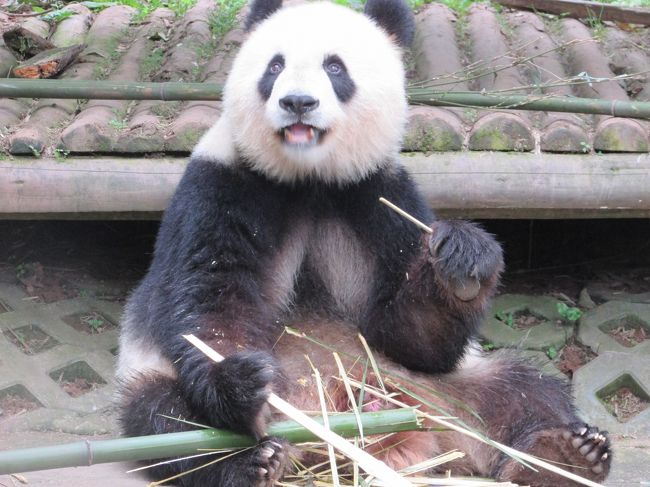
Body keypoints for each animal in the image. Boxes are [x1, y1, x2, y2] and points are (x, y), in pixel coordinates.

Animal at [117, 0, 612, 487]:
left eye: (335, 67)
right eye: (275, 66)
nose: (298, 102)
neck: (308, 175)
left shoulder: (379, 192)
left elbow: (410, 336)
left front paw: (463, 262)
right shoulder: (222, 184)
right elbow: (212, 302)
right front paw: (245, 382)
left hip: (441, 387)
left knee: (520, 387)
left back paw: (565, 456)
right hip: (155, 381)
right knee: (168, 425)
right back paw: (254, 463)